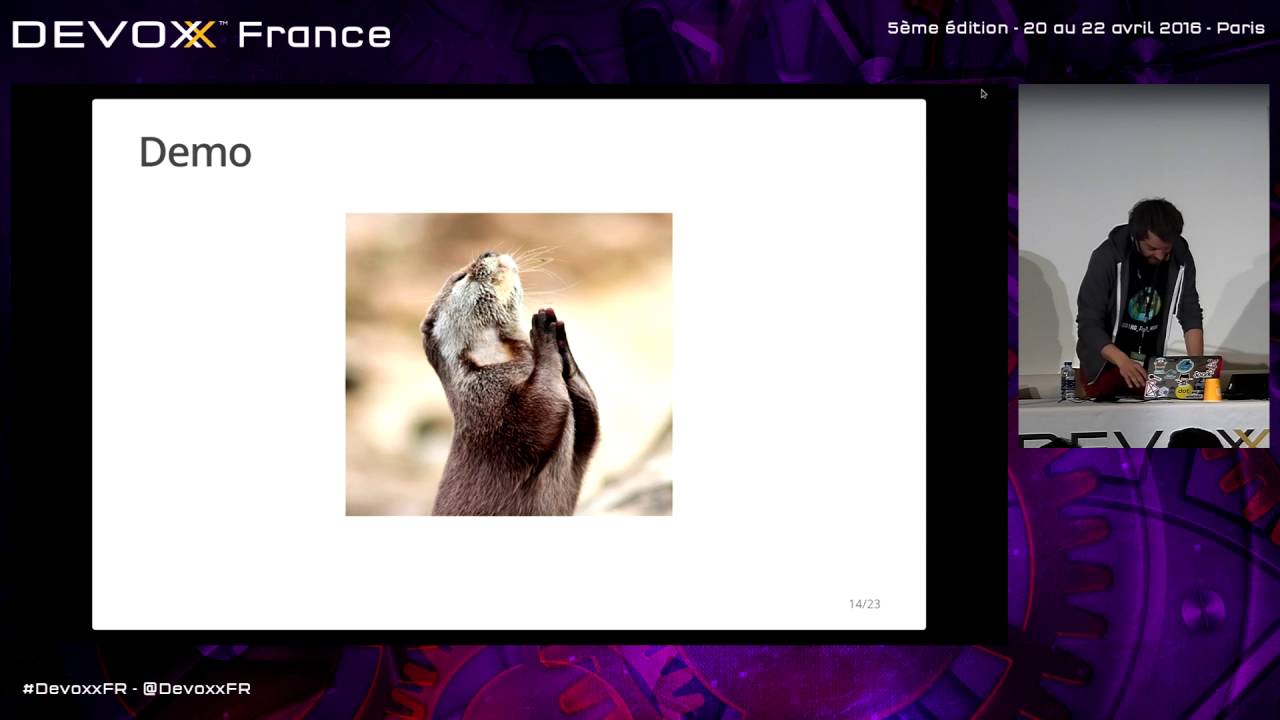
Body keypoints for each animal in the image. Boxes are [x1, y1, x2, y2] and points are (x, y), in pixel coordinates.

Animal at [420, 251, 599, 515]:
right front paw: (543, 334)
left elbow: (590, 423)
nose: (487, 253)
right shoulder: (490, 409)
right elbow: (542, 409)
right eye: (461, 277)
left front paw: (562, 344)